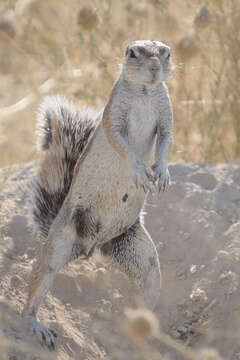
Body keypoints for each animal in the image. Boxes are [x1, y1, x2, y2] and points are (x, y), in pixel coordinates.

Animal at [22, 40, 173, 352]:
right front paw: (140, 172)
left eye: (167, 53)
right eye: (132, 52)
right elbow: (121, 143)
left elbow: (166, 139)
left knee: (147, 282)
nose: (154, 68)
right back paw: (36, 324)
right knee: (41, 278)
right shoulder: (114, 119)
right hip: (60, 241)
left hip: (138, 255)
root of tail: (89, 249)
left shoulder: (166, 116)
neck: (144, 93)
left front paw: (162, 173)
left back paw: (139, 334)